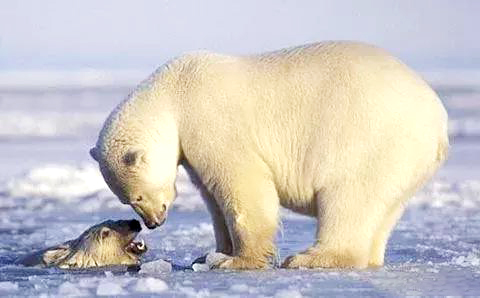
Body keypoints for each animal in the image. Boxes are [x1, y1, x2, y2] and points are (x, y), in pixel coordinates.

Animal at [90, 41, 450, 270]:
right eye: (127, 199)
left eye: (136, 196)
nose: (153, 223)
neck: (173, 93)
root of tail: (439, 119)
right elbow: (212, 196)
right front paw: (209, 255)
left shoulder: (212, 120)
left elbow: (243, 185)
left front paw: (237, 261)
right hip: (404, 162)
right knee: (382, 208)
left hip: (371, 139)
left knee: (349, 197)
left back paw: (310, 258)